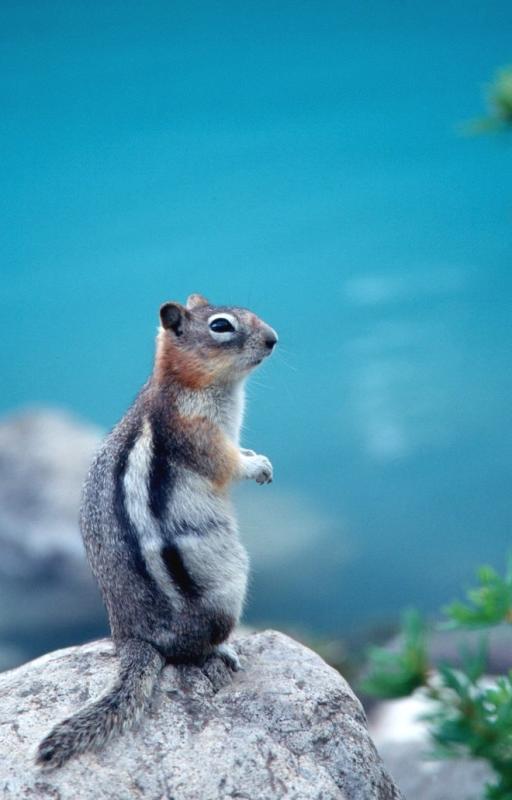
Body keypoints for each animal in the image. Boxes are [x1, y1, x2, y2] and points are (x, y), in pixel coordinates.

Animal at [36, 294, 278, 768]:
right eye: (221, 326)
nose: (274, 338)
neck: (183, 383)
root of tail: (132, 637)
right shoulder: (200, 434)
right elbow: (228, 465)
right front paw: (257, 466)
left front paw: (258, 457)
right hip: (228, 586)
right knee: (195, 650)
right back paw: (225, 649)